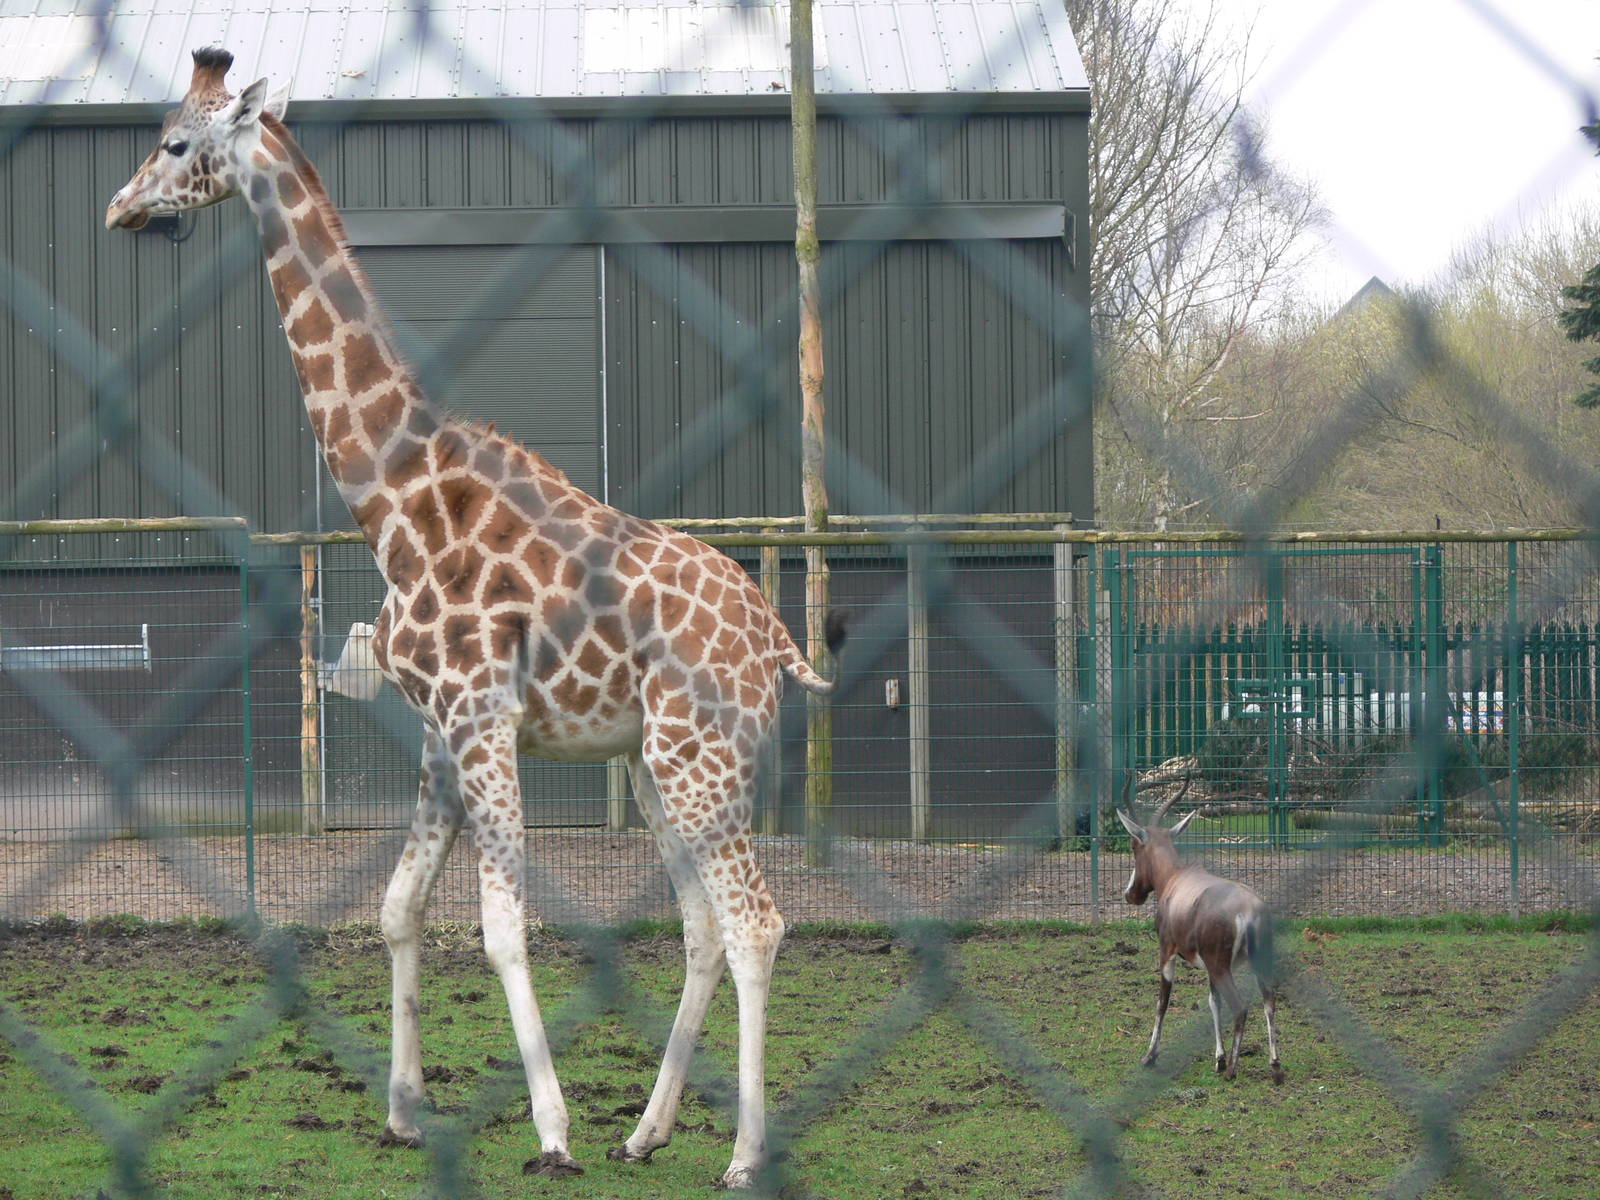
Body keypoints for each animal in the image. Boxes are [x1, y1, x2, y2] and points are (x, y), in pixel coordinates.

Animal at [106, 48, 845, 1188]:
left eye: (177, 142)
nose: (121, 207)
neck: (395, 496)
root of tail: (772, 638)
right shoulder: (437, 729)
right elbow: (400, 907)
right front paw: (404, 1110)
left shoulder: (481, 717)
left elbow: (501, 925)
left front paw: (550, 1130)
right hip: (659, 761)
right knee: (702, 926)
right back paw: (647, 1129)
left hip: (699, 755)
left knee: (755, 922)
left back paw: (739, 1156)